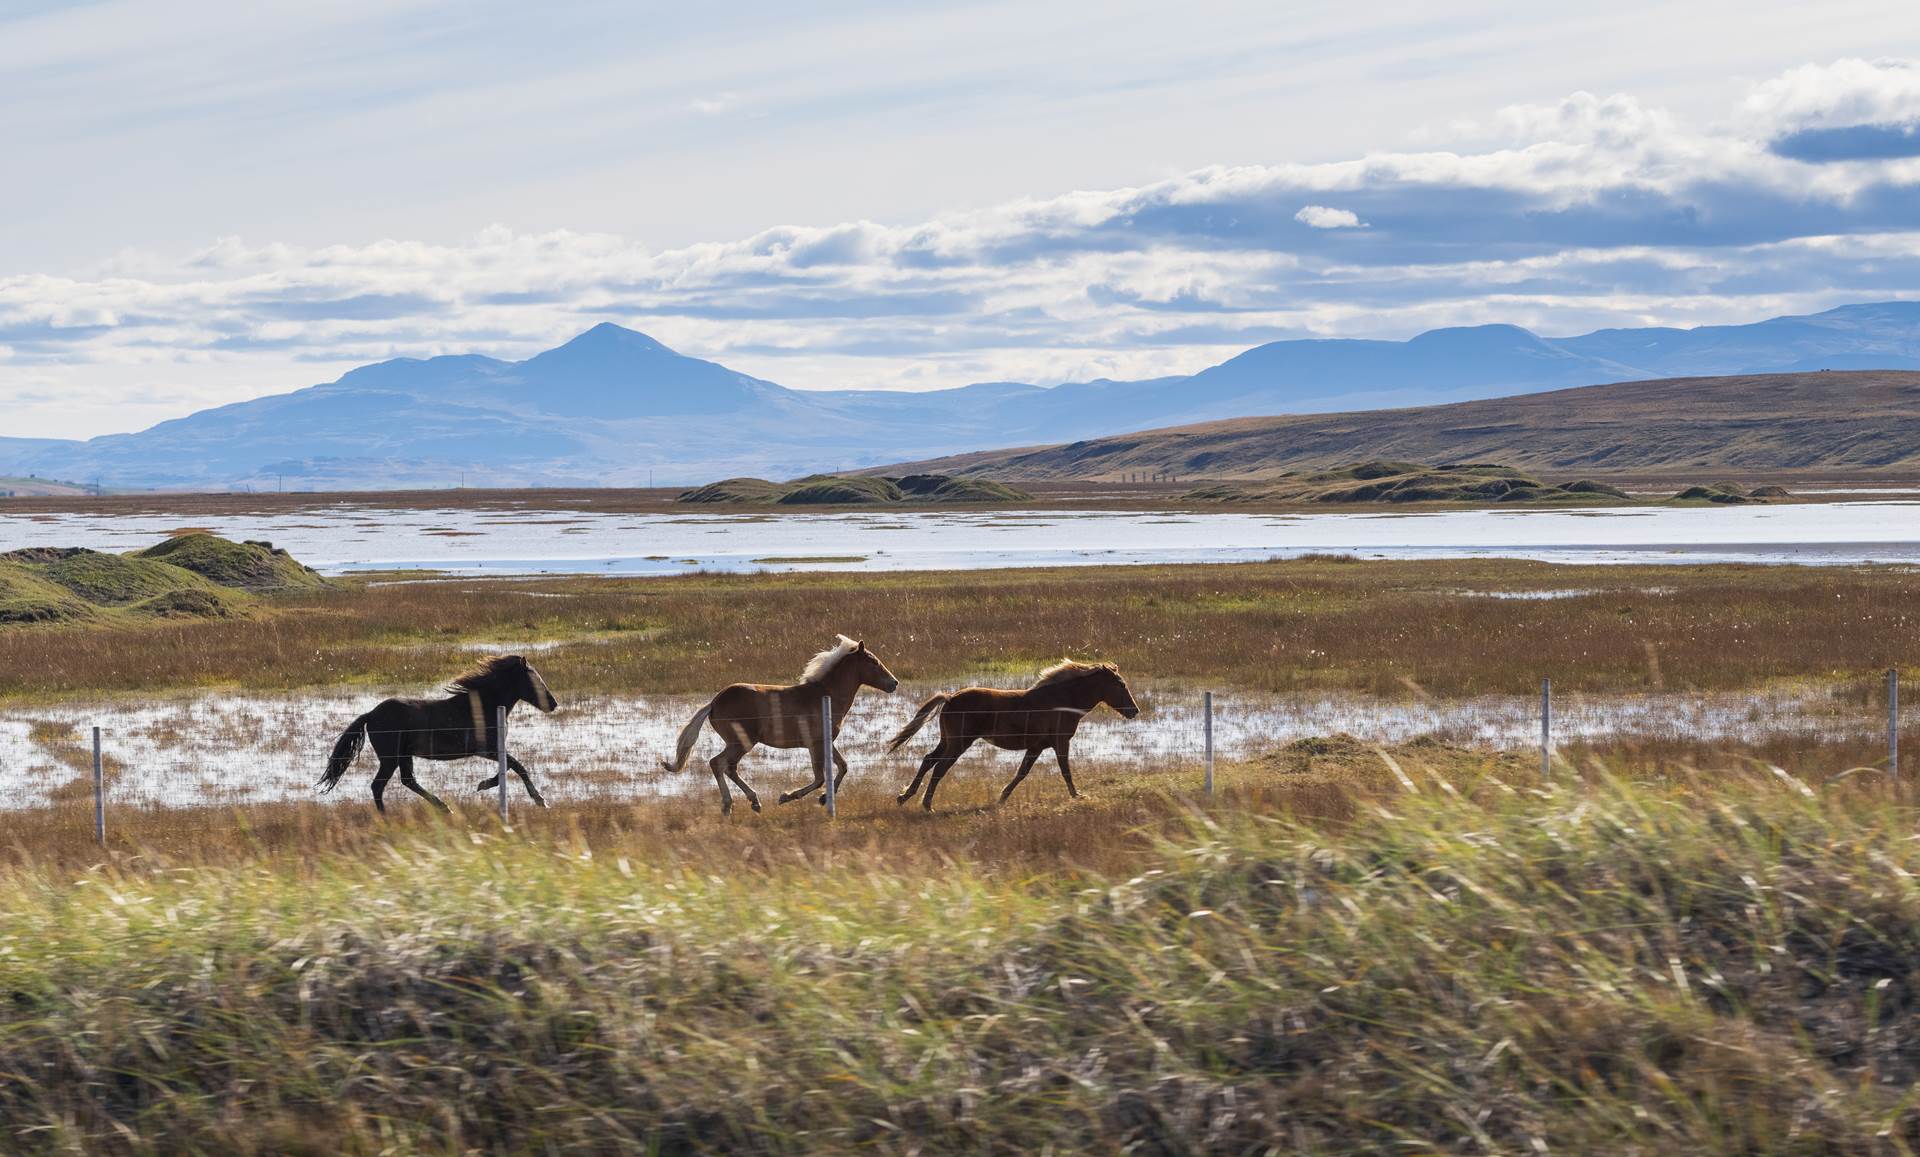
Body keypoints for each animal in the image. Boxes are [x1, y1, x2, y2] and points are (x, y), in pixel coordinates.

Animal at [318, 656, 560, 809]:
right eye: (533, 679)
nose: (553, 704)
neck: (484, 706)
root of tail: (370, 714)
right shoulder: (485, 749)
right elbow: (517, 766)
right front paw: (540, 800)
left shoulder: (492, 749)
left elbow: (509, 767)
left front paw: (483, 785)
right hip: (390, 758)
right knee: (379, 786)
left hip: (403, 755)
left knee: (407, 780)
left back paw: (442, 807)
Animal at [660, 637, 898, 821]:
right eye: (873, 662)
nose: (894, 683)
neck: (825, 695)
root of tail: (714, 703)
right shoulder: (814, 744)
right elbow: (820, 777)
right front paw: (787, 796)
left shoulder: (826, 742)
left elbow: (843, 766)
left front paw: (824, 798)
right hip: (742, 741)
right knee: (718, 763)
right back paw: (730, 805)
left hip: (740, 743)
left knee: (729, 767)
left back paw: (753, 802)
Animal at [887, 660, 1136, 813]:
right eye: (1121, 684)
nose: (1135, 710)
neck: (1062, 700)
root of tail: (949, 698)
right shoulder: (1060, 742)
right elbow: (1065, 771)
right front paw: (1077, 796)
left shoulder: (1037, 746)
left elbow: (1021, 773)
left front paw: (1002, 798)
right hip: (959, 743)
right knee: (939, 768)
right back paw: (927, 804)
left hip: (947, 741)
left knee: (928, 760)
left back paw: (904, 797)